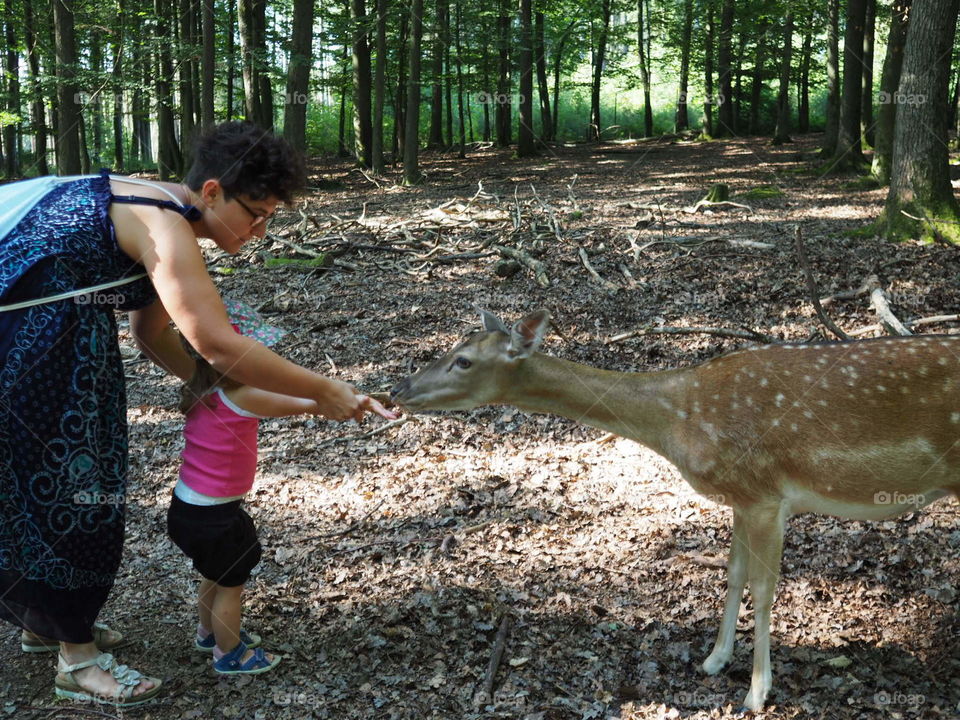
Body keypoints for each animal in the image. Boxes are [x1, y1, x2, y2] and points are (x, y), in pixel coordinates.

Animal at [390, 308, 960, 711]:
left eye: (464, 360)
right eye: (454, 346)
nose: (399, 388)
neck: (678, 419)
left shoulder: (765, 493)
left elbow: (764, 587)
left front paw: (756, 694)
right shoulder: (740, 496)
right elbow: (732, 573)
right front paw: (714, 660)